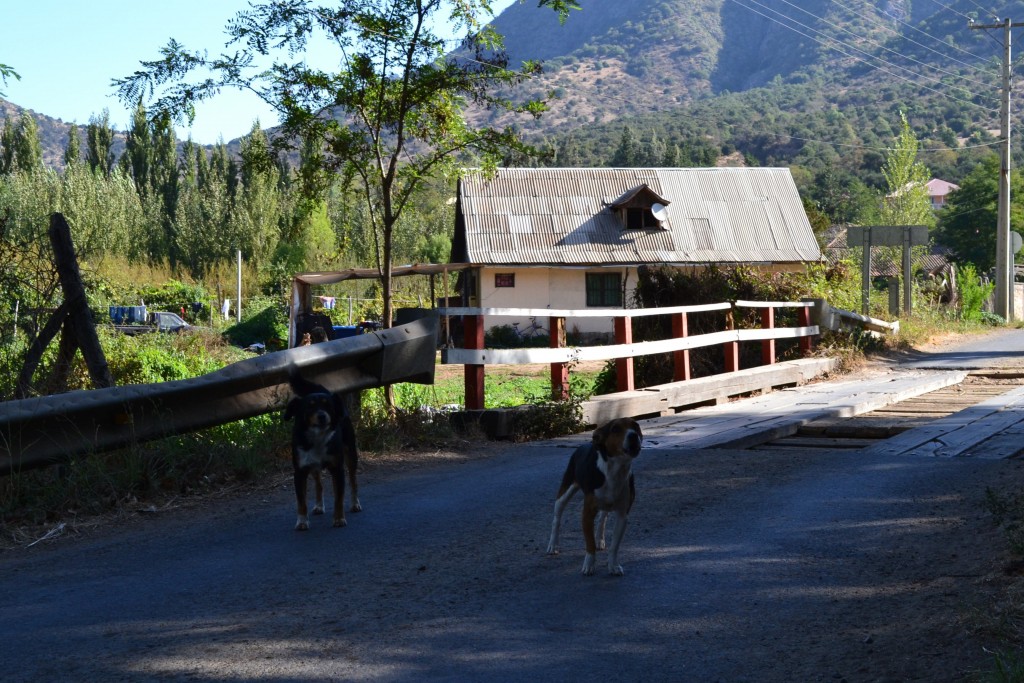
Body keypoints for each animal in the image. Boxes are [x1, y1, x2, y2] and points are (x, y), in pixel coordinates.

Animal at [282, 374, 362, 528]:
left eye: (328, 406)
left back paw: (355, 504)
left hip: (351, 454)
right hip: (313, 466)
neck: (318, 437)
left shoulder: (337, 469)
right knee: (319, 484)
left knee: (353, 480)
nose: (322, 416)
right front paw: (302, 521)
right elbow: (301, 501)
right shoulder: (300, 471)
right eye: (310, 406)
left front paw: (339, 518)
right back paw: (319, 506)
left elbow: (339, 497)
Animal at [544, 417, 638, 577]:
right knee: (557, 519)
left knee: (602, 518)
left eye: (636, 427)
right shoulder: (587, 513)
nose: (633, 435)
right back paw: (553, 545)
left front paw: (613, 565)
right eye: (615, 429)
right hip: (566, 490)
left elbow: (614, 546)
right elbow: (589, 543)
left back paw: (600, 539)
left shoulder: (622, 515)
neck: (614, 472)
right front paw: (589, 565)